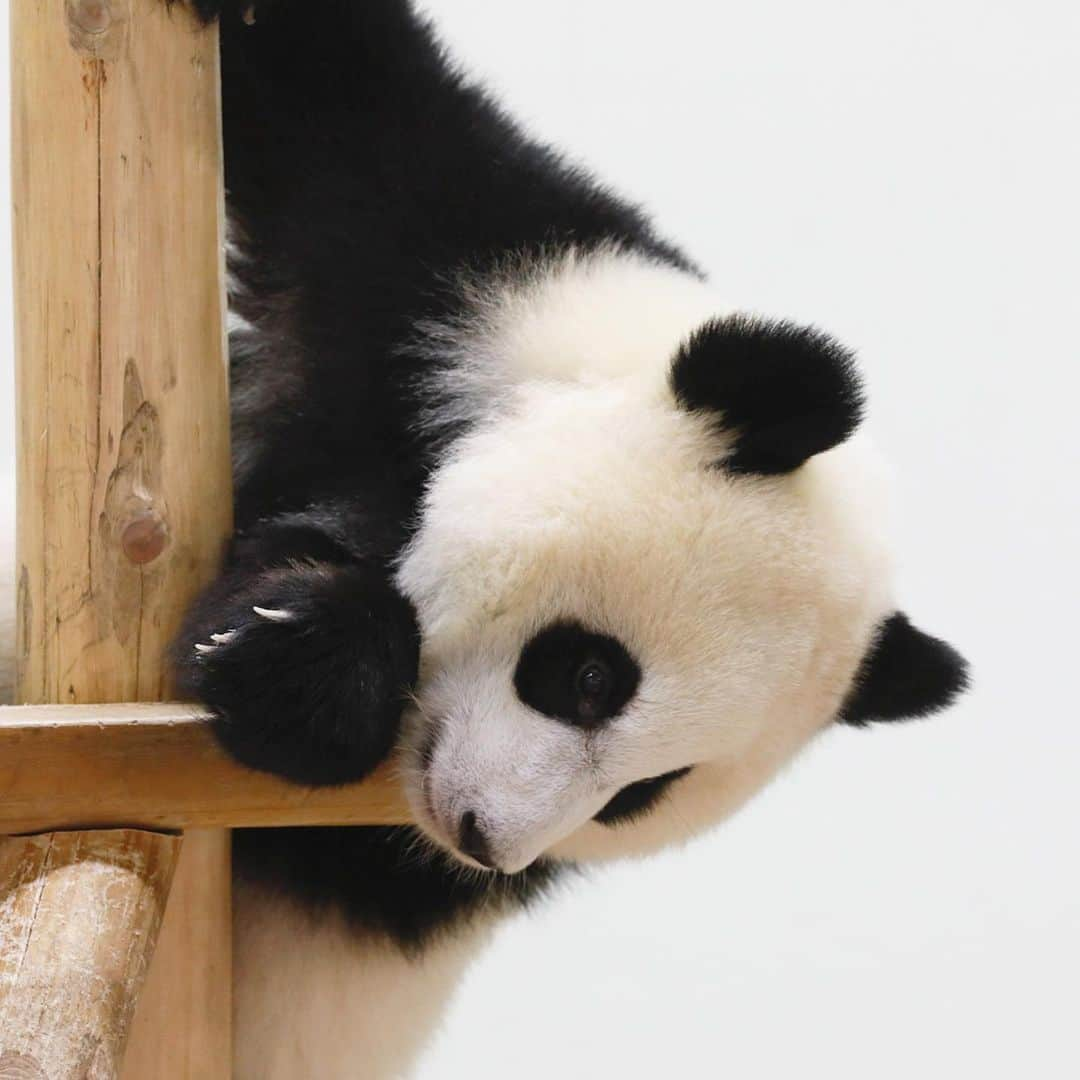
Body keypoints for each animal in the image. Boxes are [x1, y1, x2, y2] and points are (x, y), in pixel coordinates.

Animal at [152, 2, 972, 1080]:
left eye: (644, 794)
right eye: (590, 677)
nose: (484, 836)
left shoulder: (386, 872)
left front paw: (293, 659)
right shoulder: (465, 257)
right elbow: (339, 97)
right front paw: (304, 645)